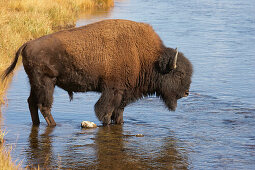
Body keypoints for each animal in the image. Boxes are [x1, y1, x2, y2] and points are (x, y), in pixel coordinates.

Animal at [1, 19, 193, 126]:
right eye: (179, 74)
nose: (186, 93)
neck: (145, 56)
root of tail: (27, 44)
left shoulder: (124, 94)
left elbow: (118, 113)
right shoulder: (113, 91)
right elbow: (105, 112)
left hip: (36, 83)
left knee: (32, 103)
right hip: (47, 83)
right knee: (44, 105)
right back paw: (54, 125)